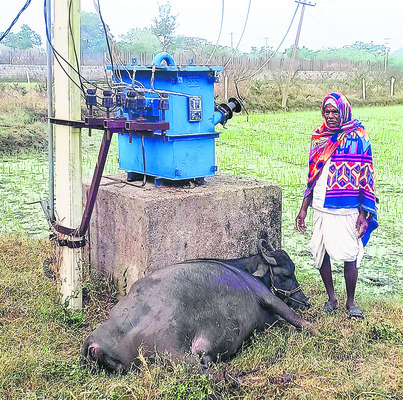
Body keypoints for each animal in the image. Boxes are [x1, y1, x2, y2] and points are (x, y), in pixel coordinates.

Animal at [82, 238, 314, 372]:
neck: (245, 271)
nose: (305, 301)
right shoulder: (266, 296)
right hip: (177, 353)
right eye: (286, 274)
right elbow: (293, 317)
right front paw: (315, 331)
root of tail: (96, 343)